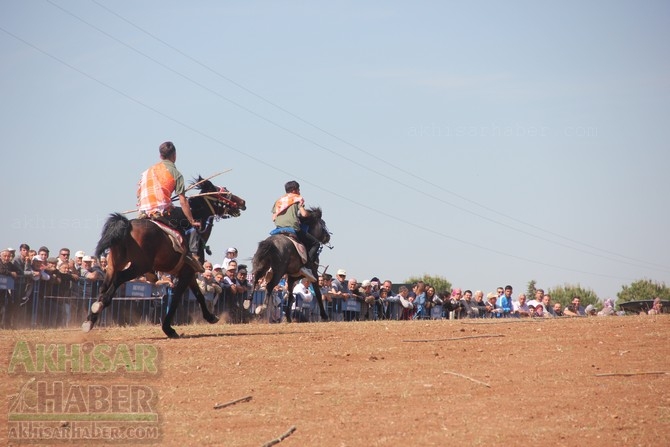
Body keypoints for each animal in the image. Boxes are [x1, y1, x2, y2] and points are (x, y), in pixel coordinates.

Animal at [80, 177, 245, 338]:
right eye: (223, 192)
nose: (242, 202)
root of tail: (127, 225)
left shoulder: (188, 273)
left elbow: (199, 295)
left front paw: (210, 317)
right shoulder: (186, 273)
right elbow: (176, 299)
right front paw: (168, 329)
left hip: (114, 264)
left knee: (104, 286)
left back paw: (90, 319)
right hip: (138, 266)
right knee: (118, 279)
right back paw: (97, 307)